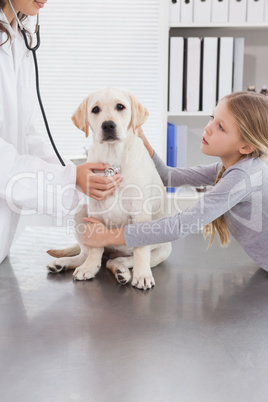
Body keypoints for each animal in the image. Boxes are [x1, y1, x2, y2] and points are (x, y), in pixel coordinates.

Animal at [46, 88, 172, 288]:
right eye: (95, 110)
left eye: (120, 106)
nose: (108, 126)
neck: (113, 157)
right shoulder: (95, 212)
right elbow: (95, 247)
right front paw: (90, 268)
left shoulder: (140, 213)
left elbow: (141, 250)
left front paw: (142, 275)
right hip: (81, 213)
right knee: (86, 254)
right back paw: (65, 263)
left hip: (163, 249)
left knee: (122, 260)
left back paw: (123, 271)